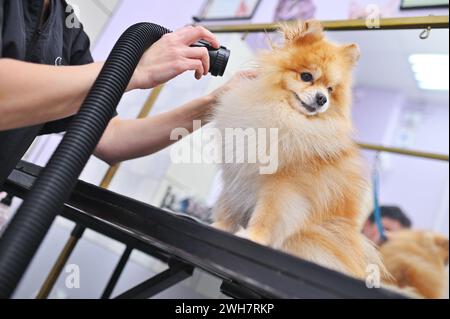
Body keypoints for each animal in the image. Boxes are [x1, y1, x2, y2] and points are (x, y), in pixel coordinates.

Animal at [212, 20, 384, 280]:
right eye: (306, 77)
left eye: (330, 89)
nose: (322, 99)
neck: (283, 116)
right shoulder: (238, 174)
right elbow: (229, 205)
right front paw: (219, 226)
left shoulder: (284, 188)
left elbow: (267, 215)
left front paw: (252, 236)